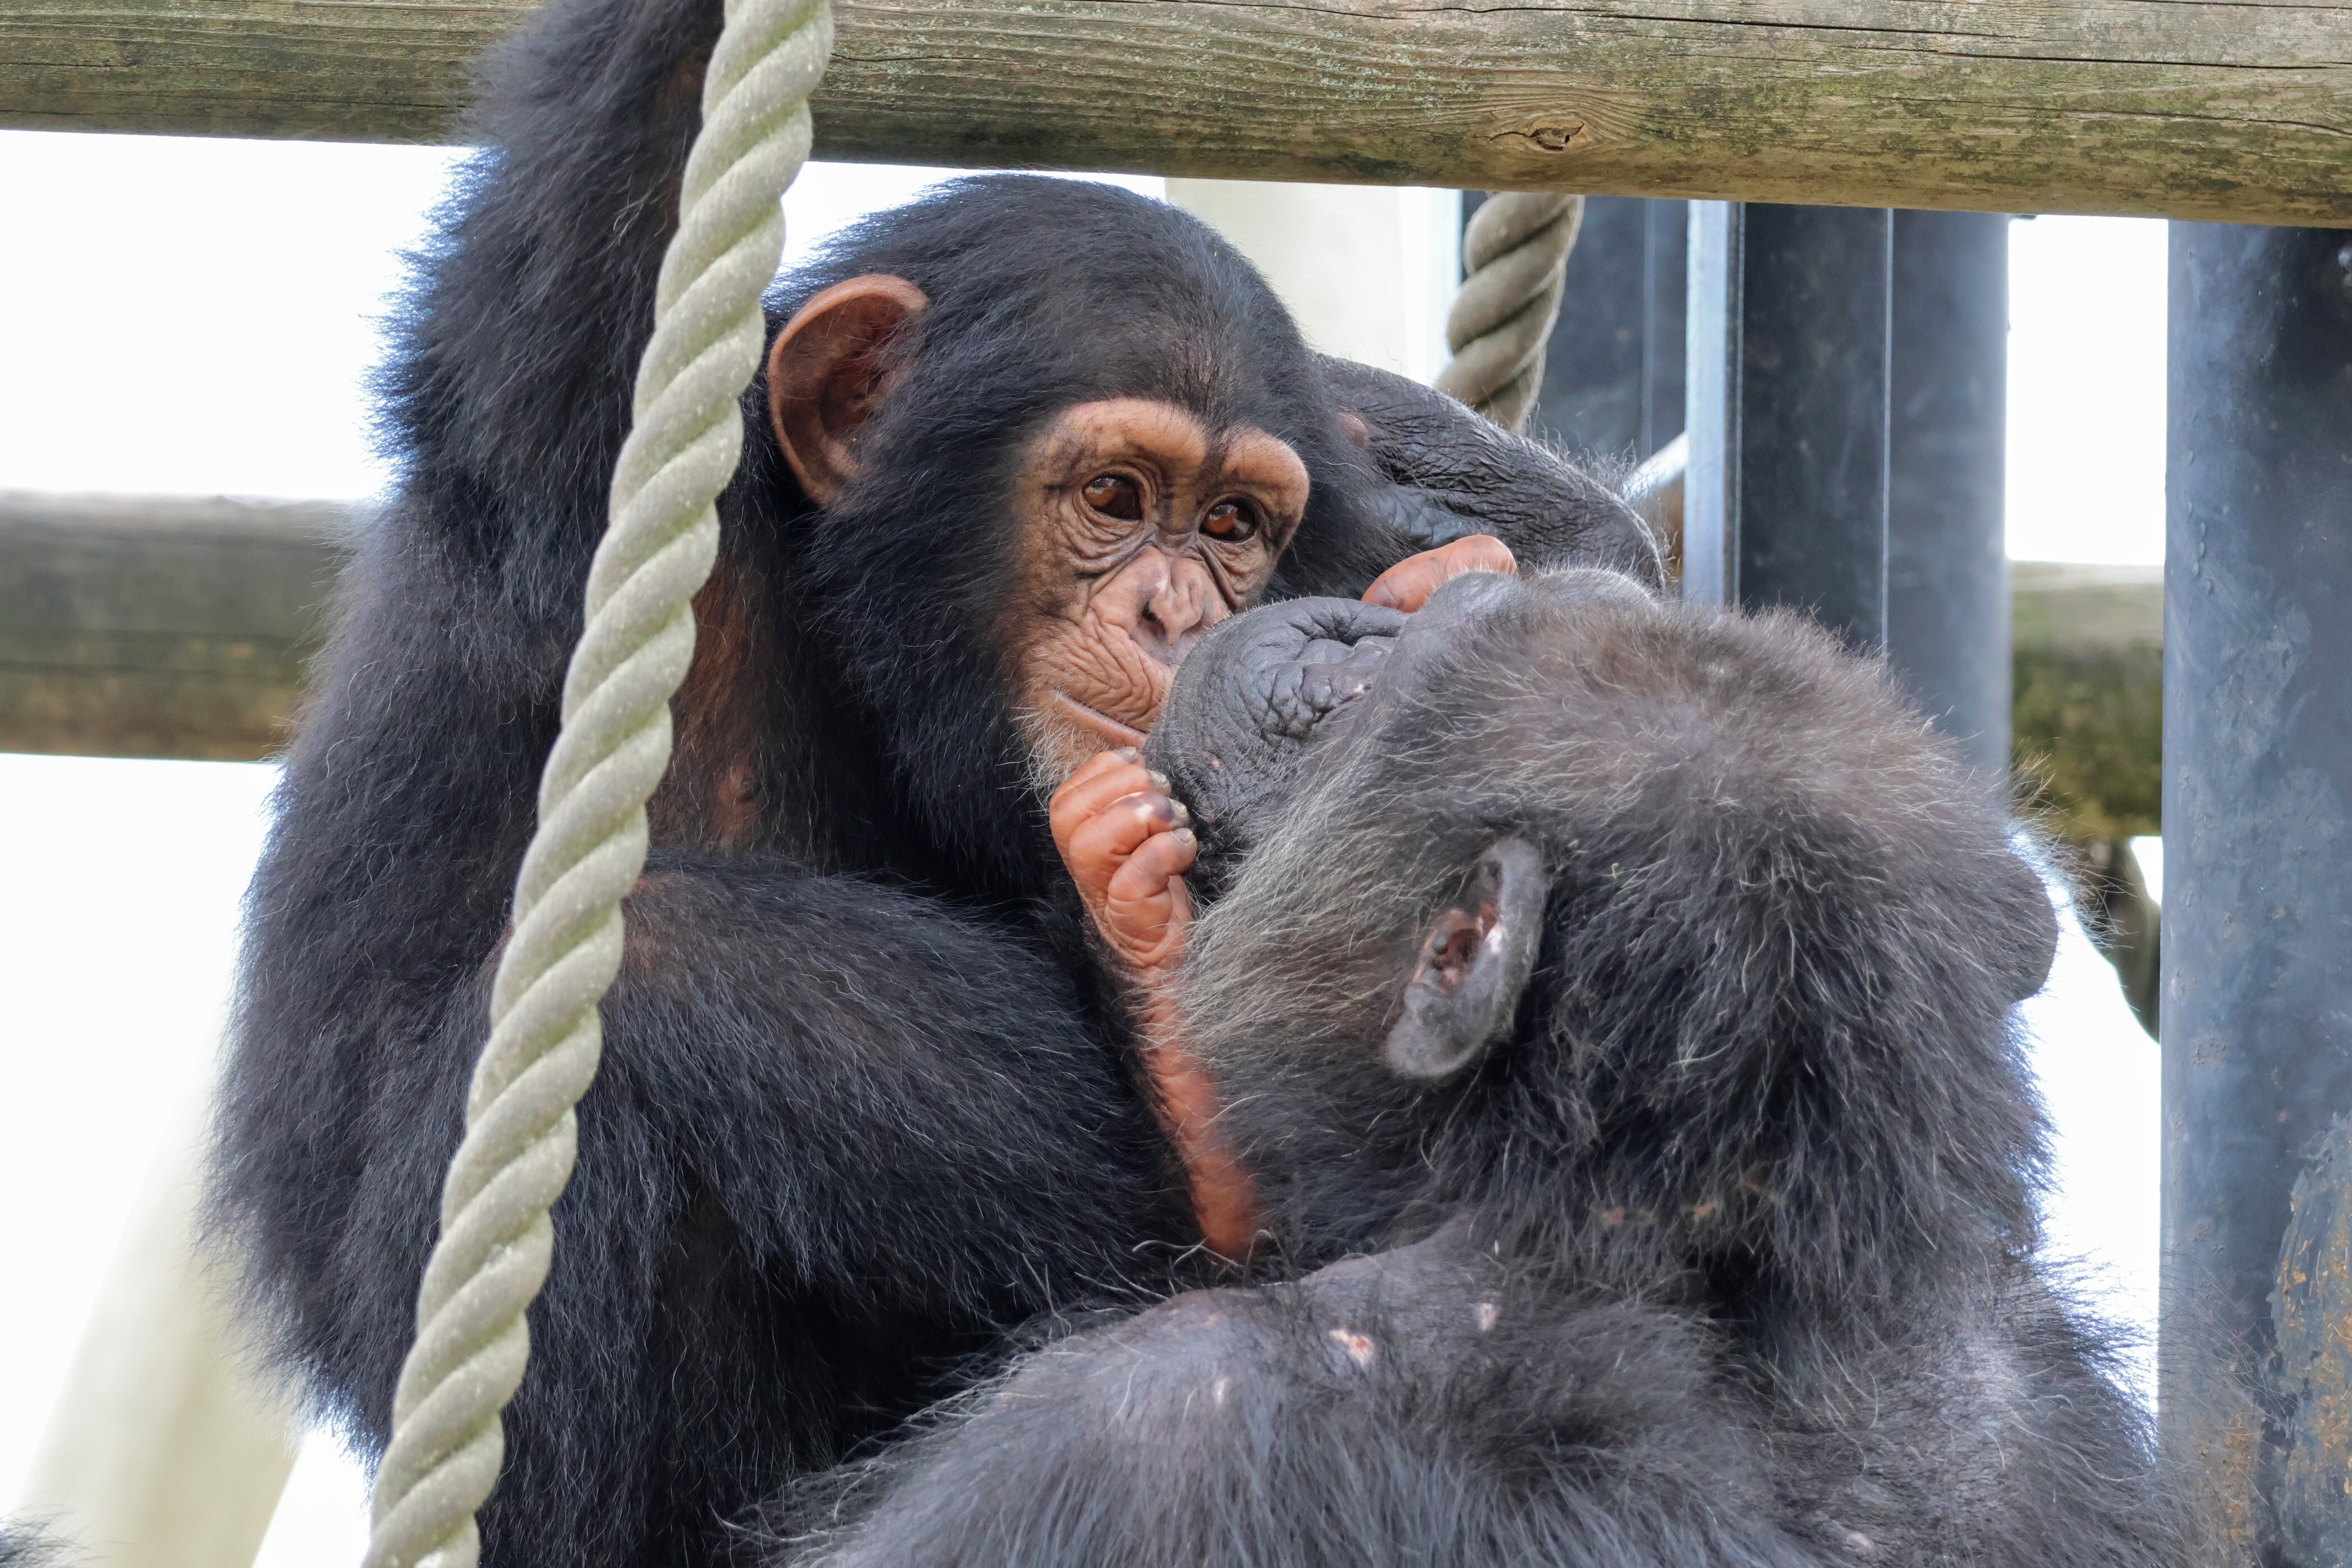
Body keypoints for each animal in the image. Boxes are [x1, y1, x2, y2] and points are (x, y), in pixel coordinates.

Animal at [212, 3, 1665, 1568]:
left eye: (1230, 522)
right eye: (1113, 498)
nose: (1173, 610)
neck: (849, 637)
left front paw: (1467, 540)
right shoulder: (588, 438)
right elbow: (631, 195)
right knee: (653, 978)